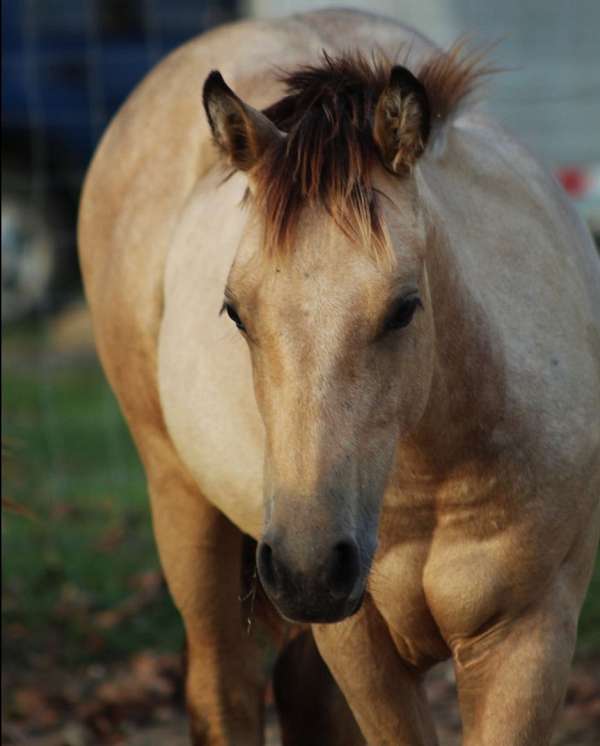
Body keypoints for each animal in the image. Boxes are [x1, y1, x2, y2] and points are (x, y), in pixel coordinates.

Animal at [79, 7, 600, 744]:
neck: (432, 480)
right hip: (185, 507)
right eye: (234, 311)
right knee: (225, 687)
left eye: (404, 307)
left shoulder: (529, 640)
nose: (306, 564)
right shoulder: (360, 644)